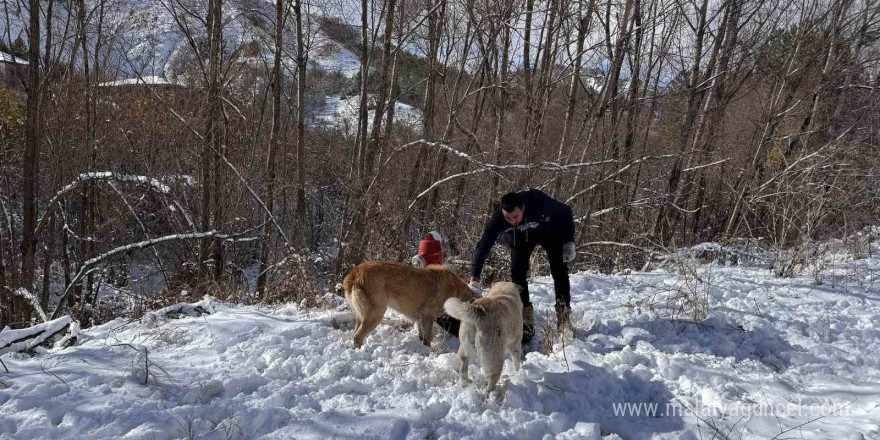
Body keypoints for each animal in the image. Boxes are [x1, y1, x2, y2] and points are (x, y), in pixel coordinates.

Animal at [342, 262, 474, 348]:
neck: (457, 291)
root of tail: (355, 273)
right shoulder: (428, 315)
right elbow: (427, 336)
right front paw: (428, 350)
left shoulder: (422, 317)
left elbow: (422, 334)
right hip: (376, 315)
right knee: (357, 337)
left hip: (362, 315)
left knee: (355, 333)